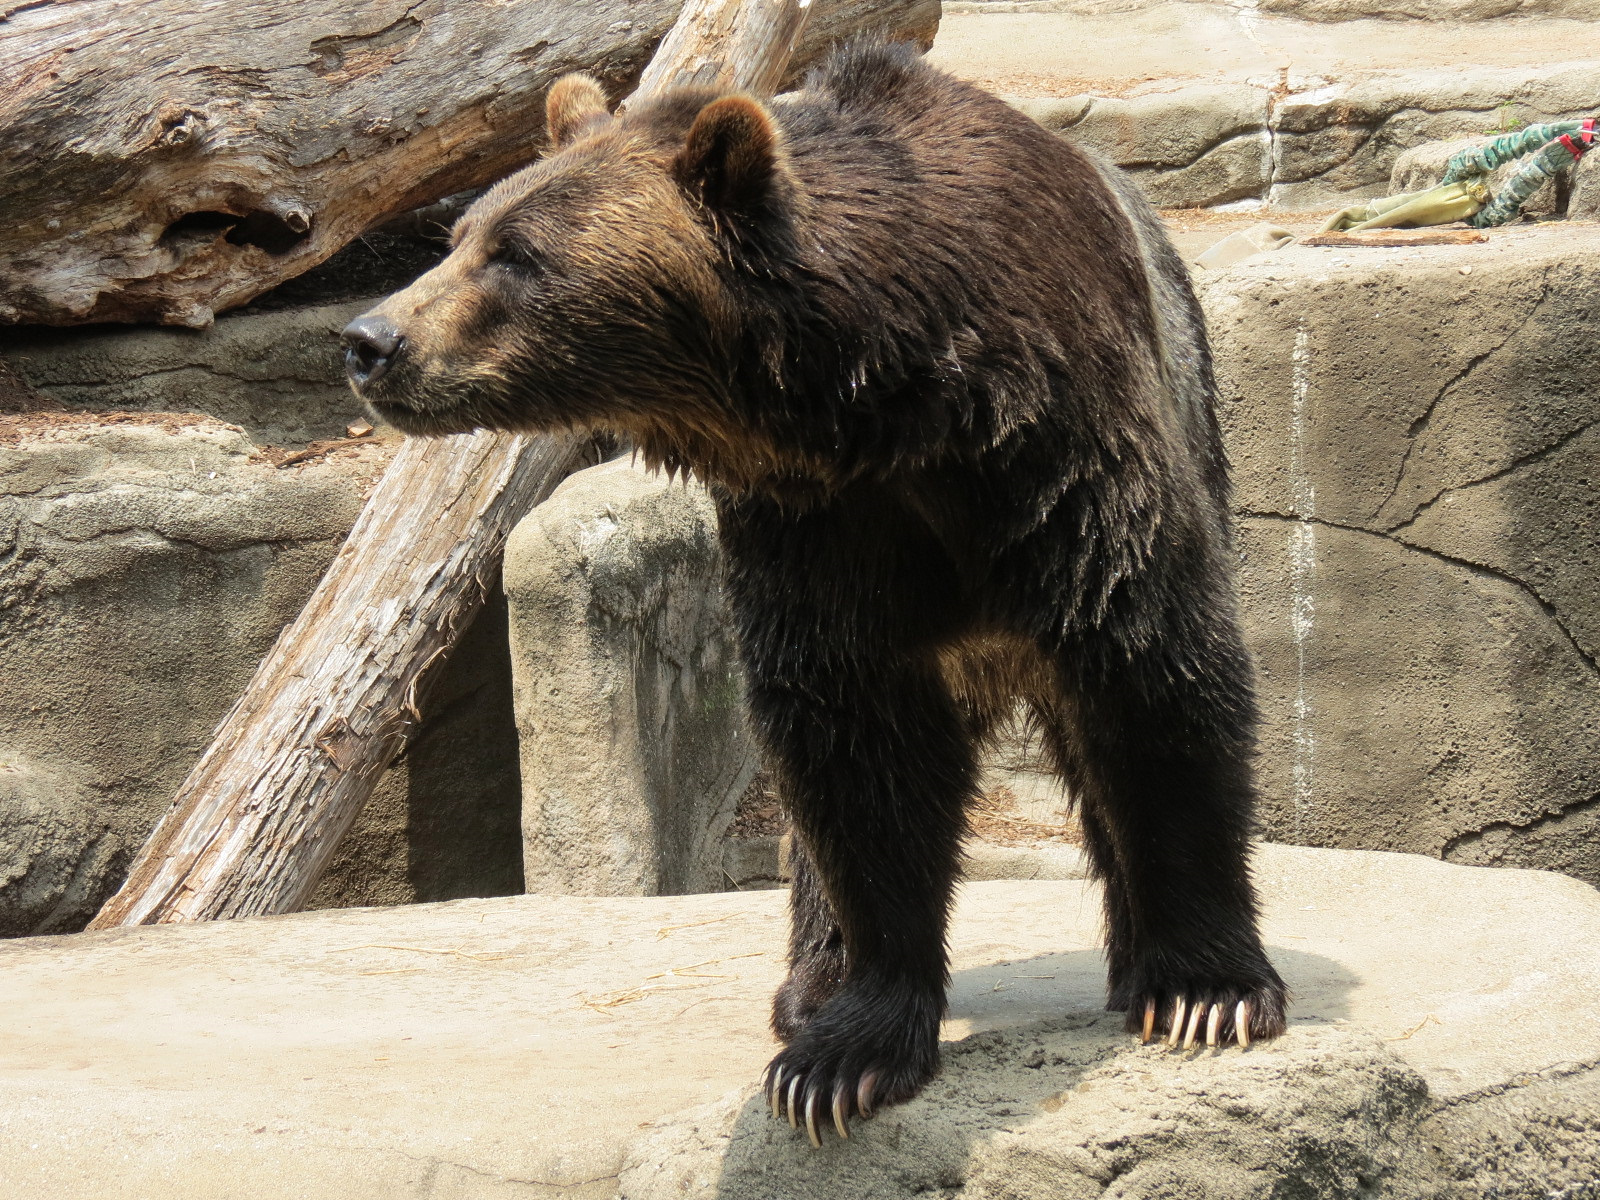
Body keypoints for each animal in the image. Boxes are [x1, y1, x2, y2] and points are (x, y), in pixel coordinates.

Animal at [342, 40, 1289, 1147]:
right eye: (459, 237)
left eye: (516, 253)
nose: (370, 340)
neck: (898, 402)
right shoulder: (816, 528)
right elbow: (852, 747)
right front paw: (845, 1055)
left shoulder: (1065, 465)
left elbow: (1153, 666)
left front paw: (1206, 989)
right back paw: (810, 982)